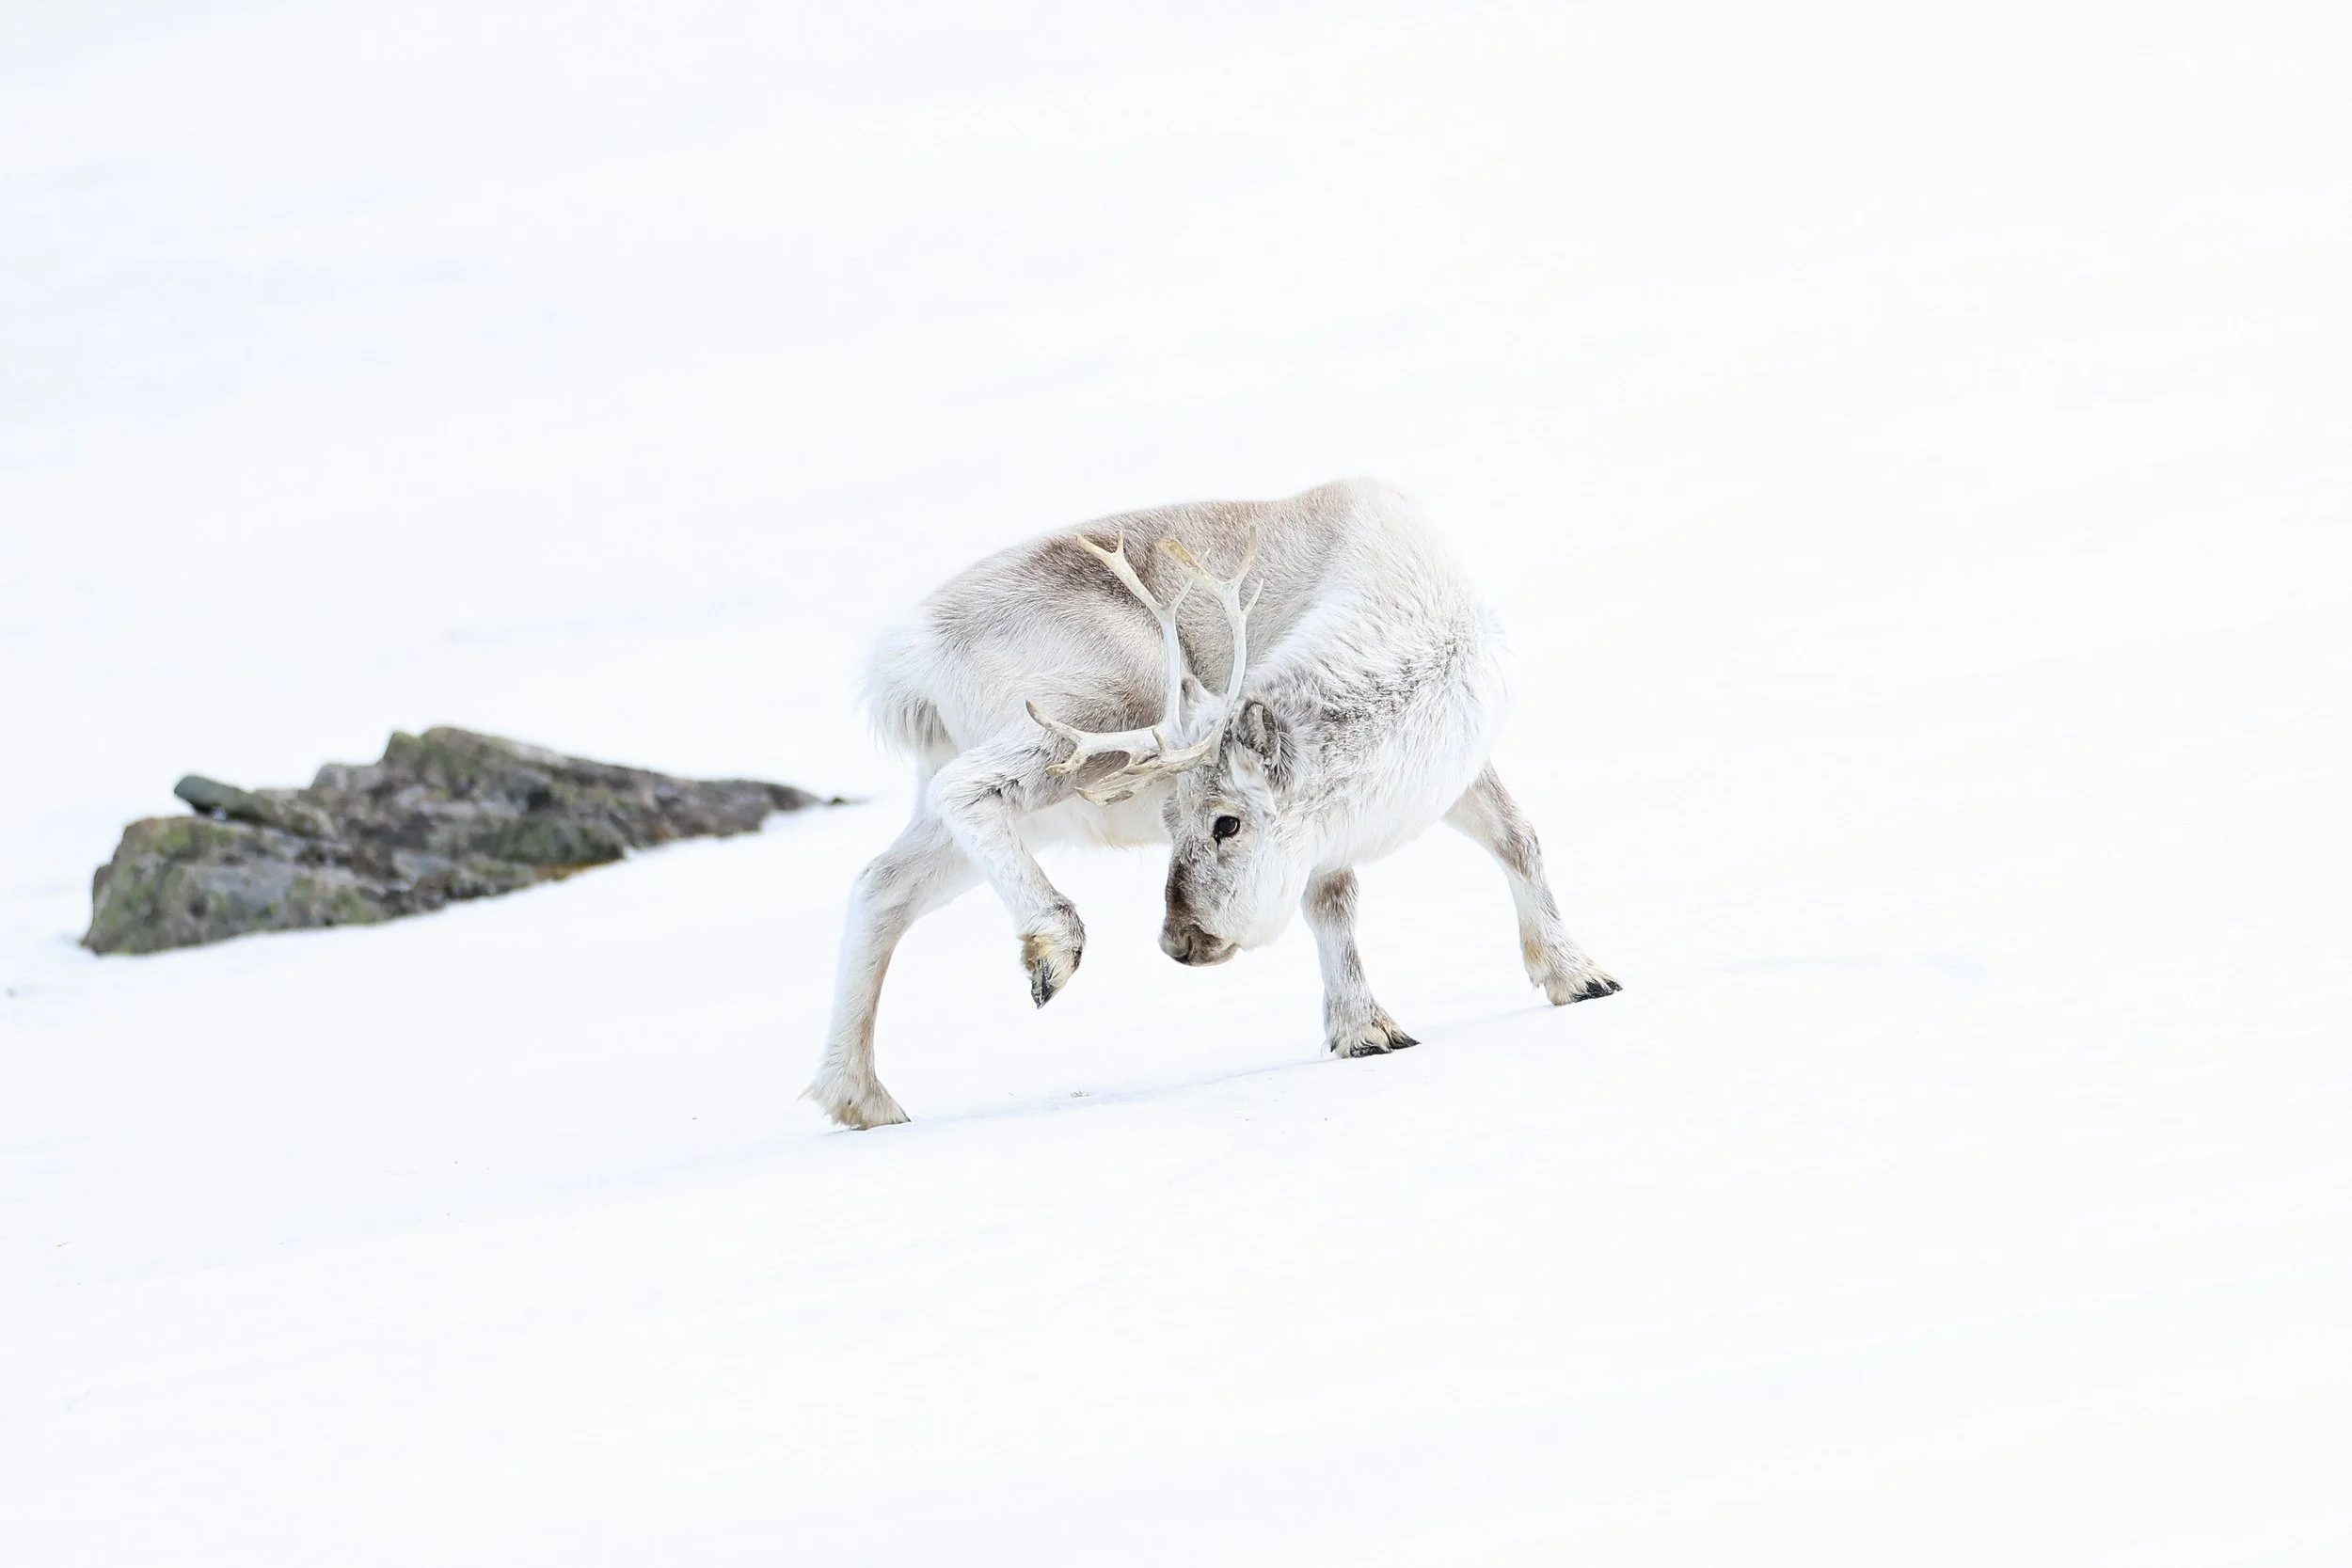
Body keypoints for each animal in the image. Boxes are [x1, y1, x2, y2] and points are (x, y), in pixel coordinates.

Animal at [805, 477, 1619, 1129]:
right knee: (967, 789)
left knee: (881, 885)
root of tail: (906, 665)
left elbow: (1517, 837)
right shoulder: (1321, 835)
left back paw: (860, 1096)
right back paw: (1053, 945)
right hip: (1100, 708)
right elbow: (1336, 902)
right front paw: (1366, 1028)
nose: (1177, 941)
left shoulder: (1454, 772)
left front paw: (1579, 975)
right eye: (1173, 818)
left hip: (1013, 801)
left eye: (1225, 822)